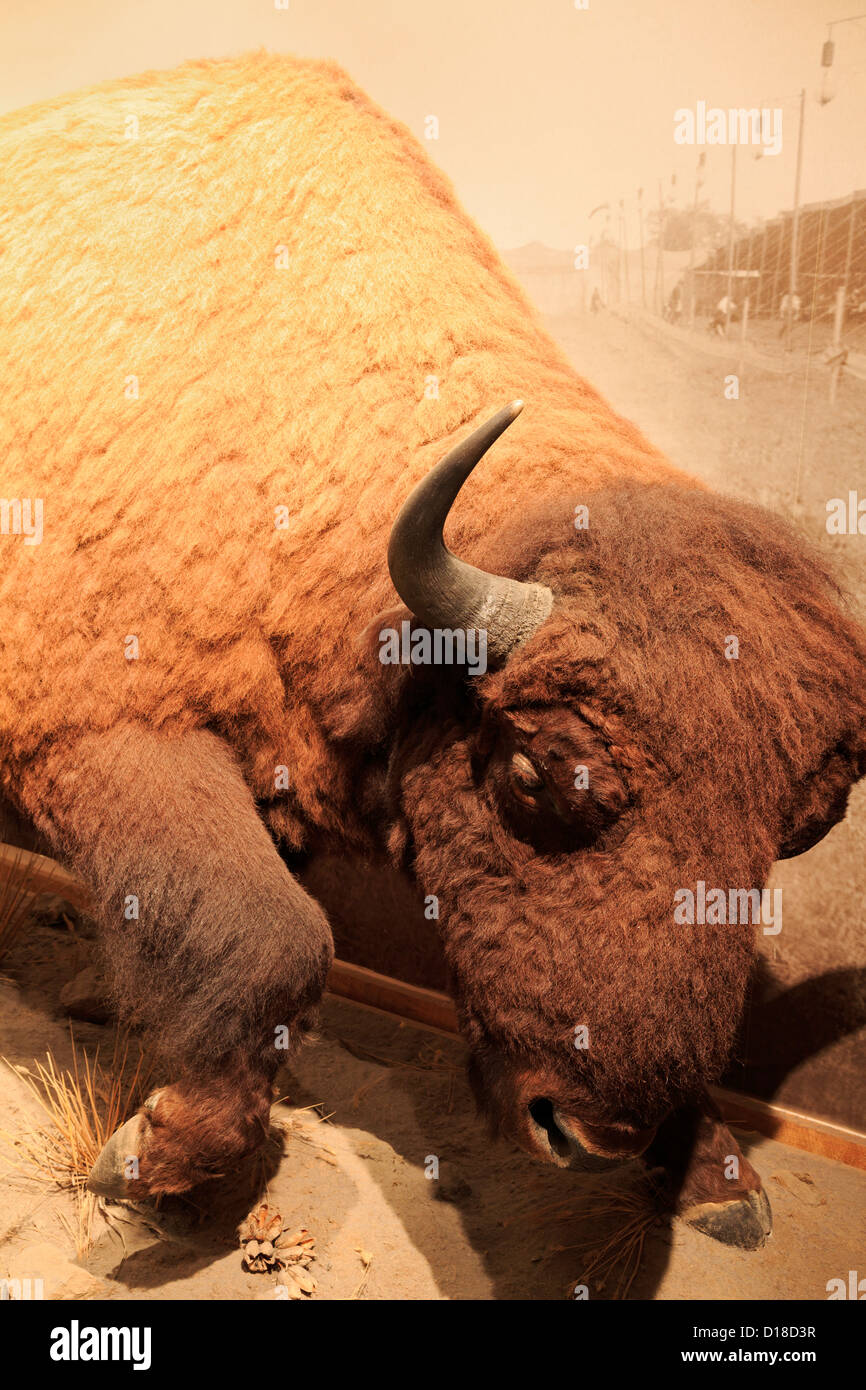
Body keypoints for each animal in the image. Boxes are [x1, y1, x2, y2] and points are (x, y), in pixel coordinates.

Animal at [1, 51, 866, 1251]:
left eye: (802, 827)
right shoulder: (103, 732)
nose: (592, 1135)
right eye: (539, 770)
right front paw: (152, 1151)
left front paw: (719, 1177)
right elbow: (276, 941)